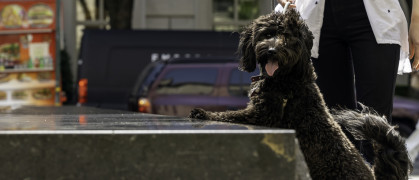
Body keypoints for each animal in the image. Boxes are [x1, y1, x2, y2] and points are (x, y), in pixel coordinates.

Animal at [191, 10, 414, 180]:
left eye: (288, 38)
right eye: (267, 34)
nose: (272, 50)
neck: (286, 81)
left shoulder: (262, 116)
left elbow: (229, 115)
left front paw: (203, 113)